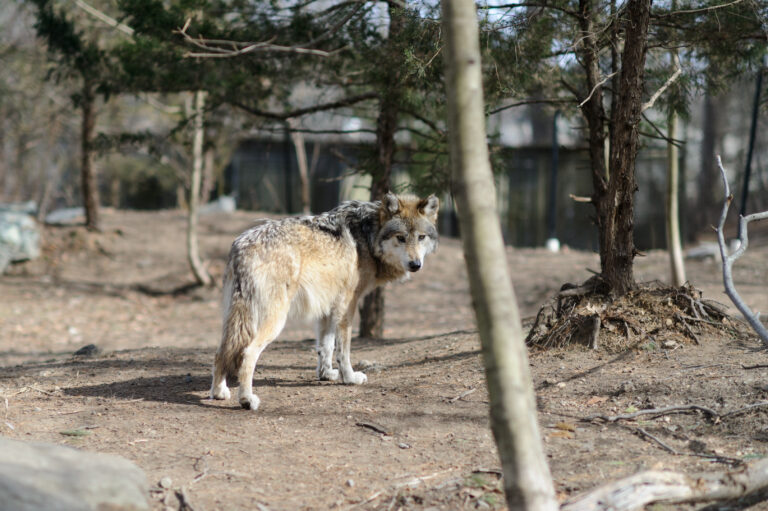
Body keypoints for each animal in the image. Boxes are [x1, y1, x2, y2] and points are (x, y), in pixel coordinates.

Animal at [210, 192, 439, 410]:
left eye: (421, 237)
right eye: (401, 238)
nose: (415, 264)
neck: (367, 236)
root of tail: (241, 247)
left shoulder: (328, 307)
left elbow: (325, 346)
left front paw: (326, 375)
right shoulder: (347, 306)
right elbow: (343, 350)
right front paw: (350, 378)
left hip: (233, 320)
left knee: (221, 352)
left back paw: (219, 393)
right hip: (274, 321)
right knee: (247, 354)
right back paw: (247, 400)